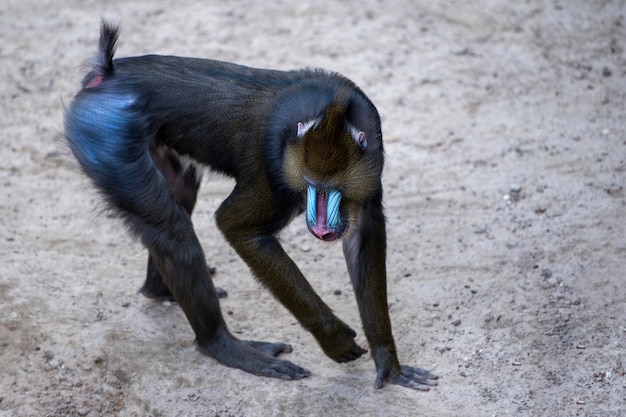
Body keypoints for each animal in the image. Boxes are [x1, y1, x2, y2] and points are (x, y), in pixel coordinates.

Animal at [63, 21, 436, 388]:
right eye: (312, 186)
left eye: (335, 189)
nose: (321, 229)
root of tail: (107, 74)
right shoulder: (271, 178)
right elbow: (236, 226)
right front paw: (335, 339)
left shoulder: (370, 171)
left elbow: (363, 238)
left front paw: (389, 363)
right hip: (106, 136)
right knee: (172, 231)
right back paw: (225, 346)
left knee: (179, 198)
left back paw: (160, 291)